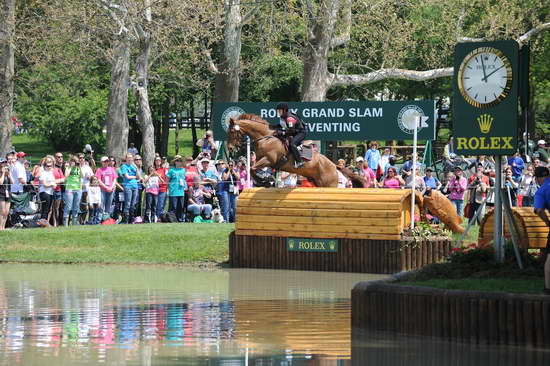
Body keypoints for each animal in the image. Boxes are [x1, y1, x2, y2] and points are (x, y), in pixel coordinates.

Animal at [226, 113, 360, 187]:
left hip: (328, 184)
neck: (265, 138)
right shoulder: (262, 160)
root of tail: (334, 165)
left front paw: (267, 180)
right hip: (317, 182)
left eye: (232, 131)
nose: (230, 148)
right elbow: (251, 169)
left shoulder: (269, 160)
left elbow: (252, 168)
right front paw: (266, 181)